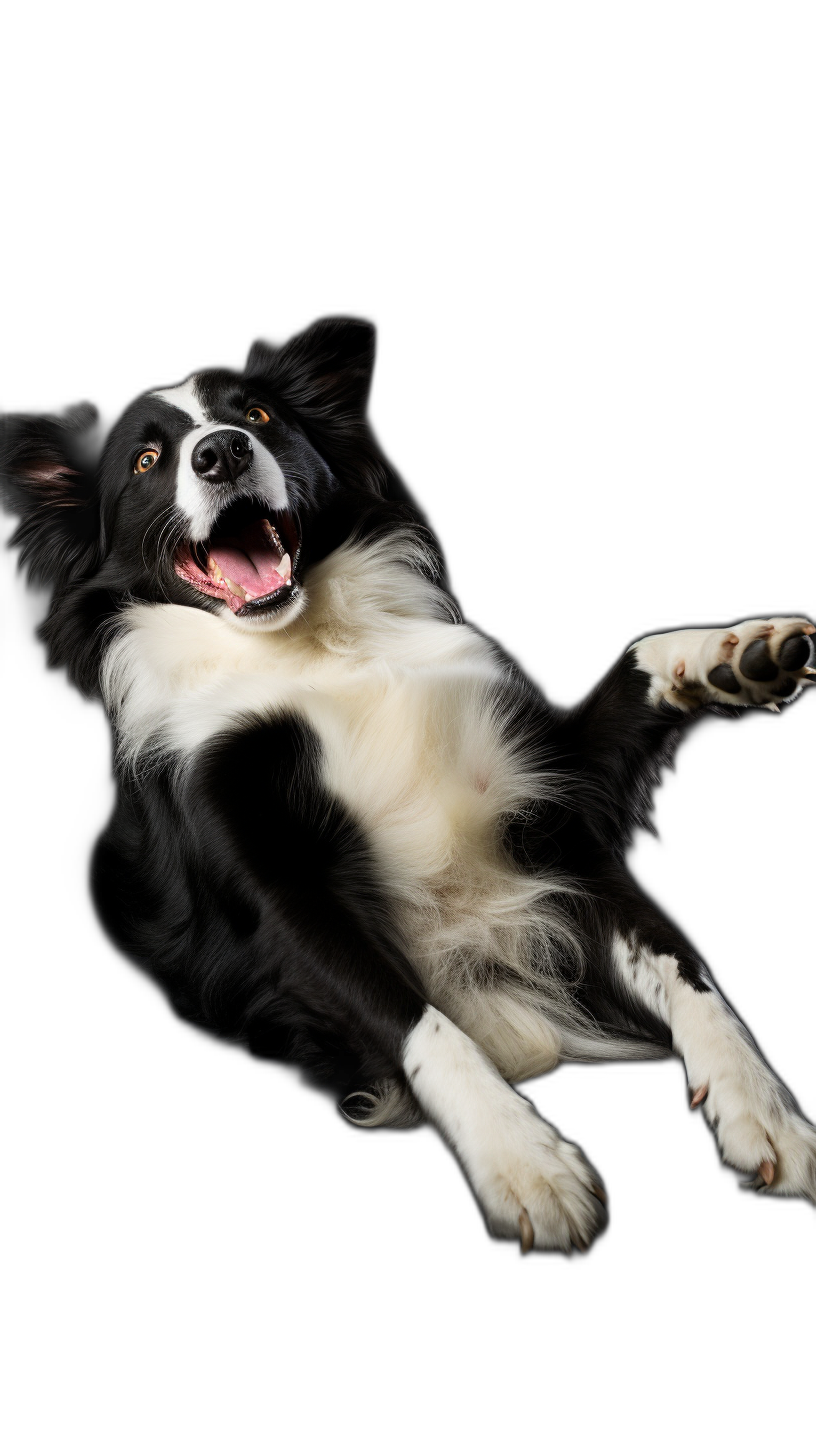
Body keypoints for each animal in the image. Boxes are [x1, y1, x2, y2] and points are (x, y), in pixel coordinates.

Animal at [1, 321, 816, 1252]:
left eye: (257, 414)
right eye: (146, 460)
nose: (221, 452)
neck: (320, 644)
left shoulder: (559, 819)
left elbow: (685, 963)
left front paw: (764, 1110)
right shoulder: (272, 889)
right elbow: (421, 1019)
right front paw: (523, 1163)